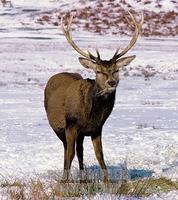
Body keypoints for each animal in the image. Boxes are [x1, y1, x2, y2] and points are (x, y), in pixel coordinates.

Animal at [44, 10, 143, 183]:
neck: (90, 114)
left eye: (116, 70)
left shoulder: (97, 128)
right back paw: (67, 177)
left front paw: (107, 182)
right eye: (98, 71)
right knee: (67, 150)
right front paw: (64, 182)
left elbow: (99, 155)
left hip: (80, 134)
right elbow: (70, 154)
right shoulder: (71, 125)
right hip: (58, 127)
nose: (111, 82)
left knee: (80, 150)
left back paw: (83, 179)